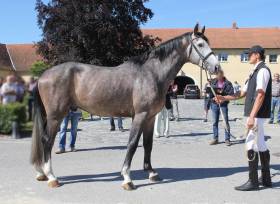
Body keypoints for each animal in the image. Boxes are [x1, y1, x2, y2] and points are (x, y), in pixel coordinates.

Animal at [30, 23, 219, 190]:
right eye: (200, 44)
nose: (217, 67)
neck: (151, 74)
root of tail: (43, 76)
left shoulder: (150, 118)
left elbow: (148, 144)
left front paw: (151, 173)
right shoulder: (140, 116)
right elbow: (133, 144)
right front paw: (127, 178)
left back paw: (42, 173)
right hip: (56, 116)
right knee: (47, 140)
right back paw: (52, 177)